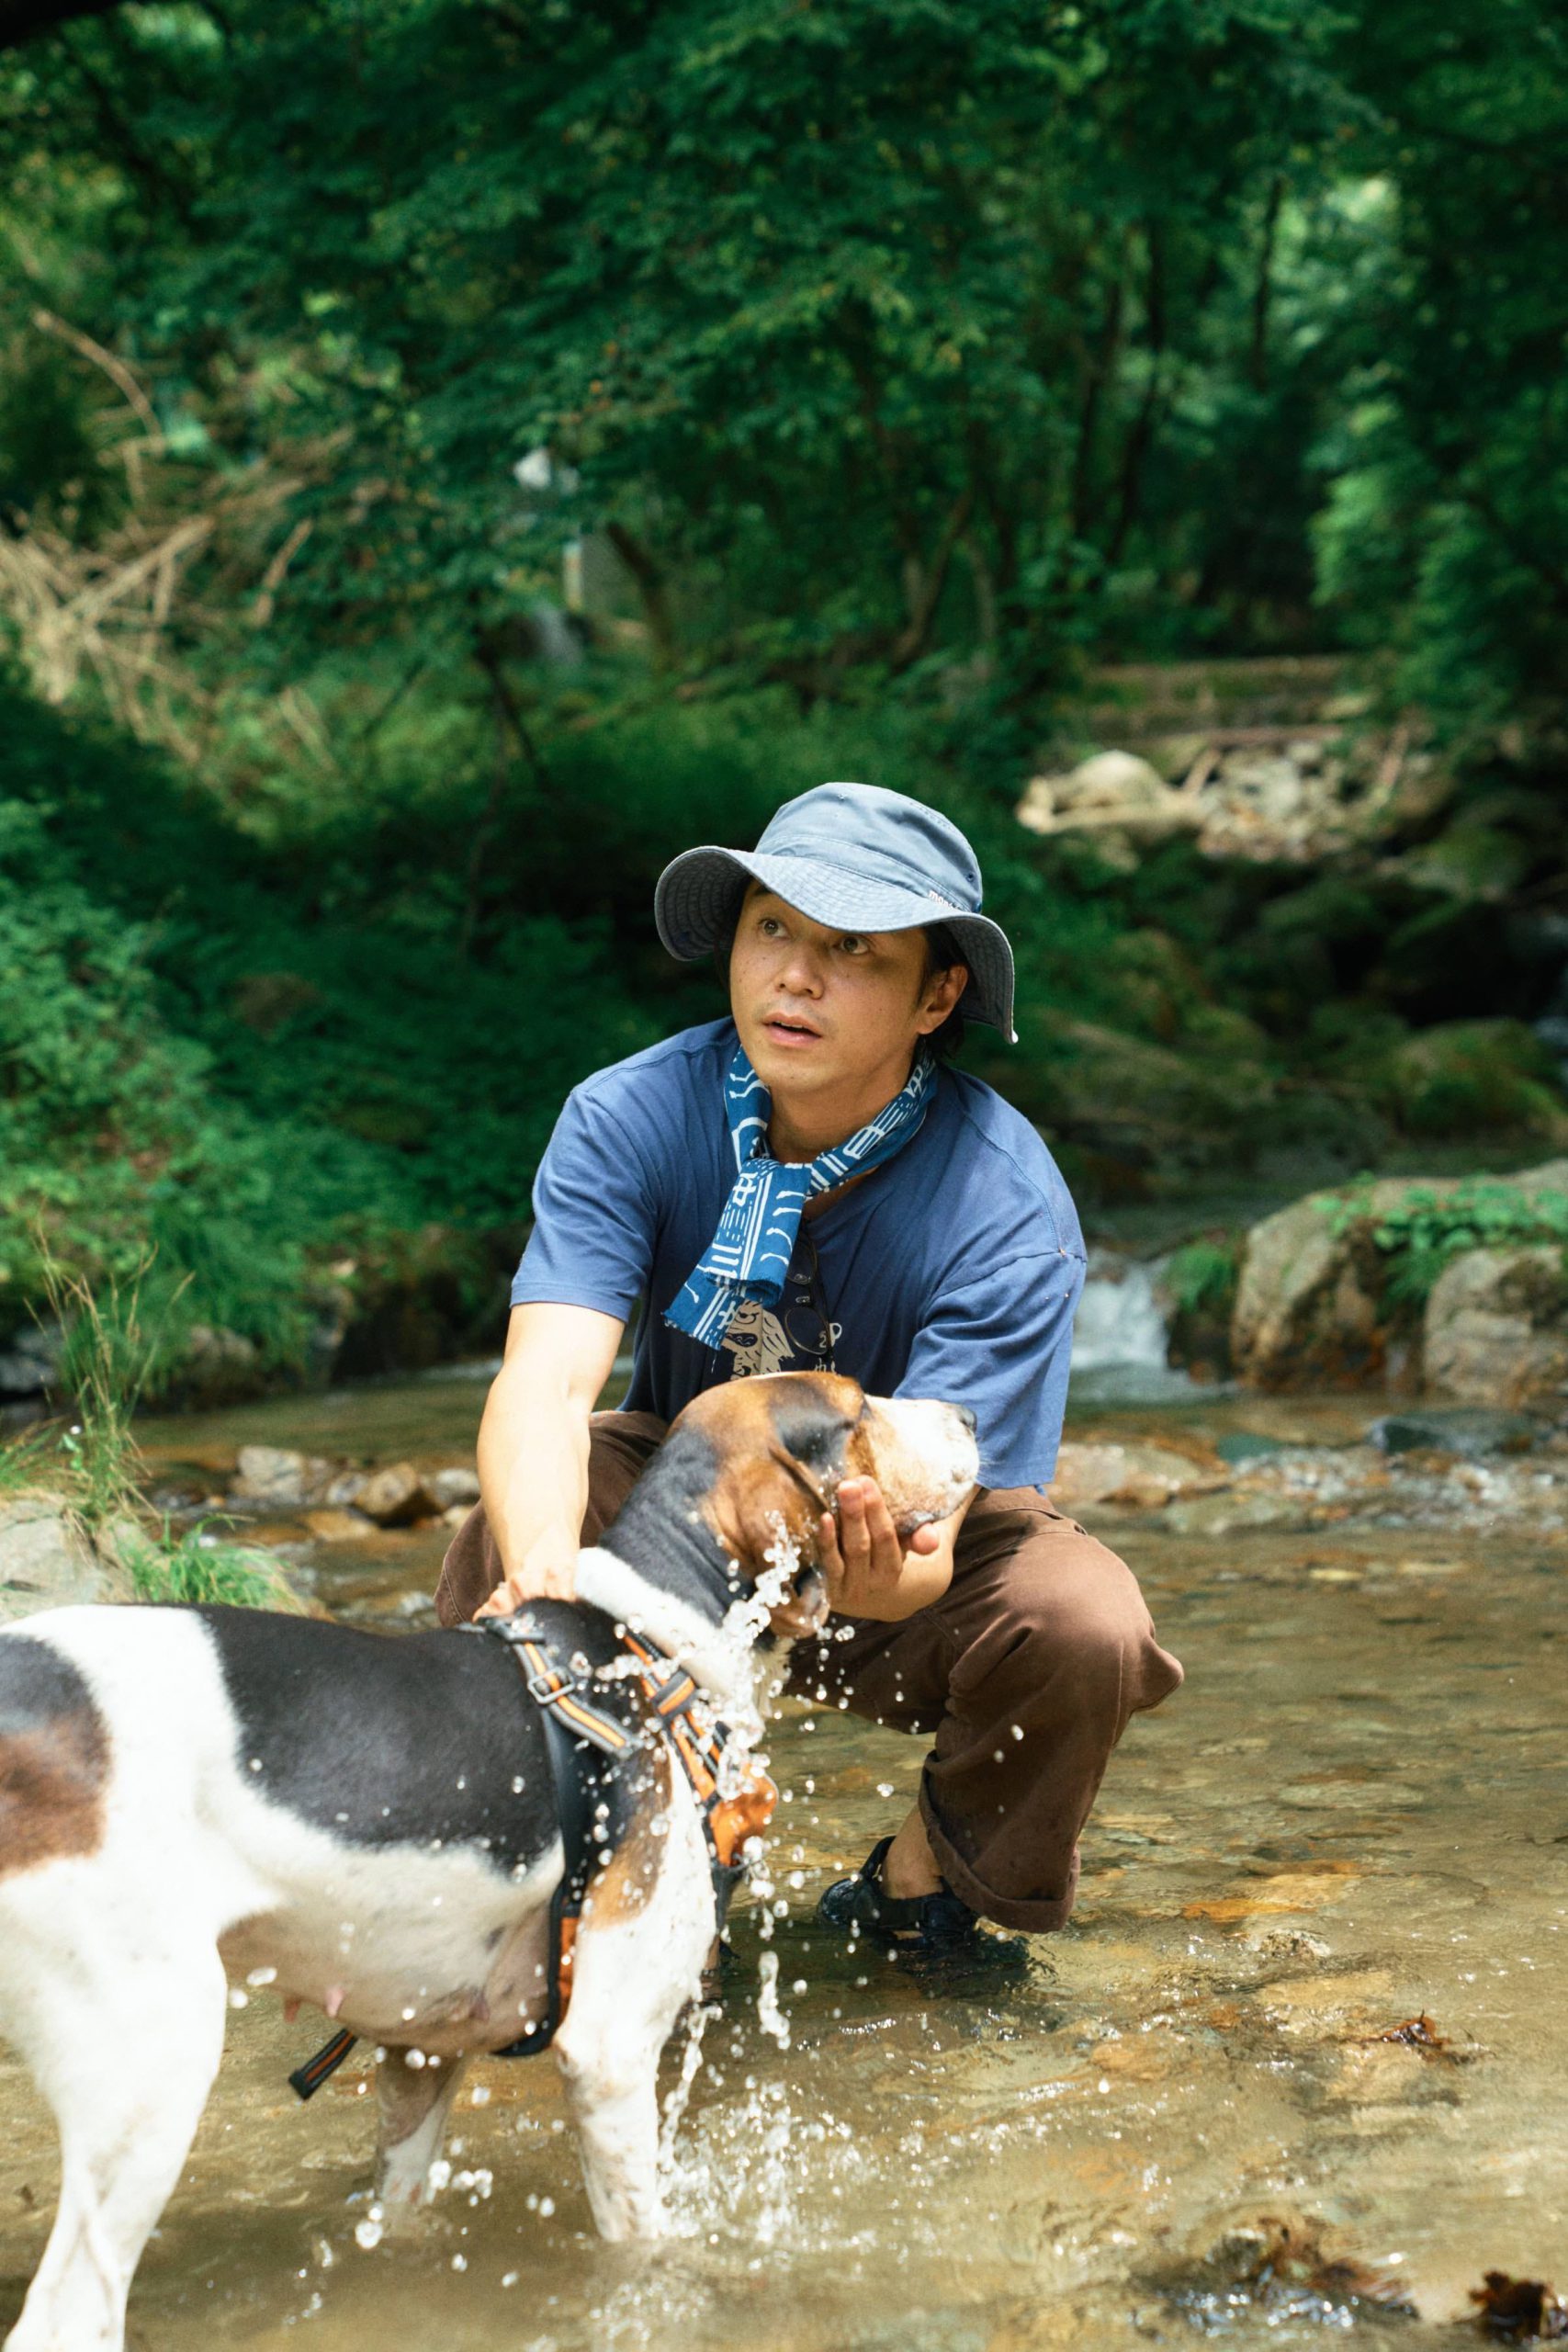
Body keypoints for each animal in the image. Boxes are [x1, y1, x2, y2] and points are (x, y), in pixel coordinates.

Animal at [0, 1374, 973, 2342]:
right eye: (855, 1412)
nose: (967, 1415)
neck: (653, 1636)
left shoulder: (418, 2051)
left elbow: (398, 2211)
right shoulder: (608, 2050)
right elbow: (642, 2244)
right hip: (150, 2064)